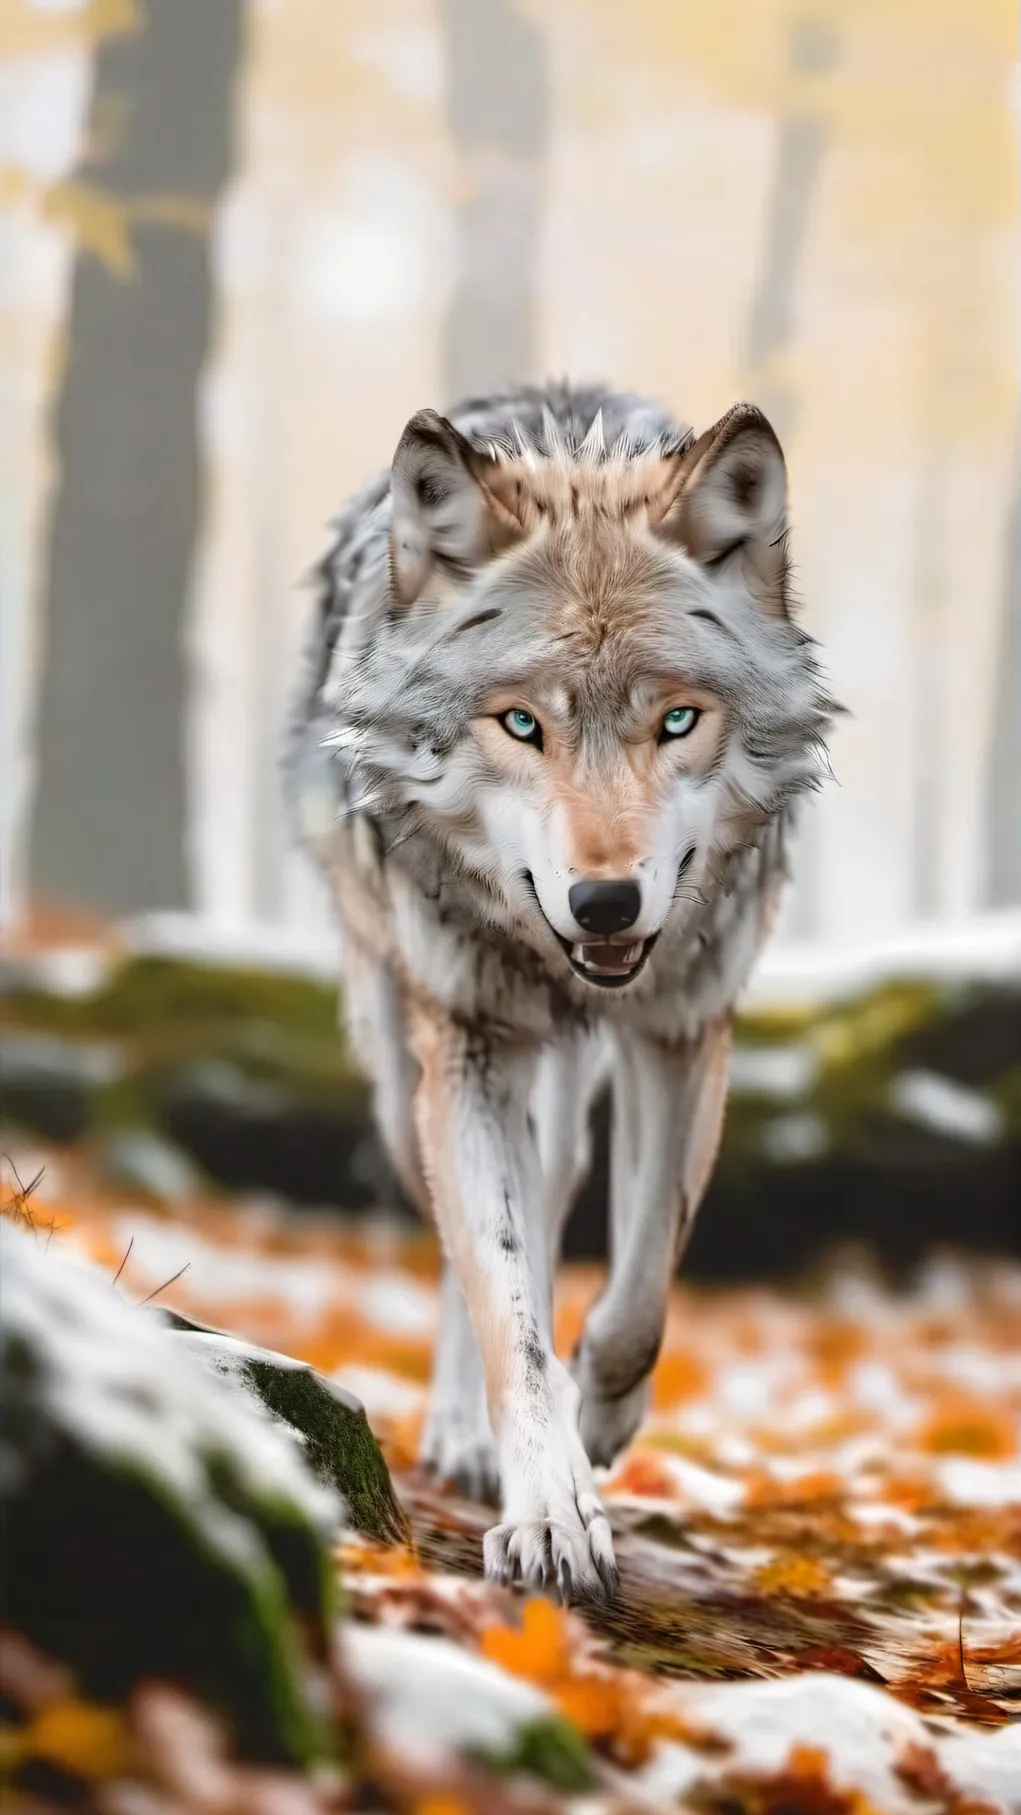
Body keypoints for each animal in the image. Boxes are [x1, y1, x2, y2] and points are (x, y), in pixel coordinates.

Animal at [286, 381, 836, 1602]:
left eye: (675, 720)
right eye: (520, 724)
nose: (604, 903)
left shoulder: (684, 1033)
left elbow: (637, 1297)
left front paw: (600, 1420)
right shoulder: (471, 1048)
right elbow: (506, 1302)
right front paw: (549, 1508)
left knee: (554, 1199)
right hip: (407, 1086)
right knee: (472, 1251)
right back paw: (462, 1435)